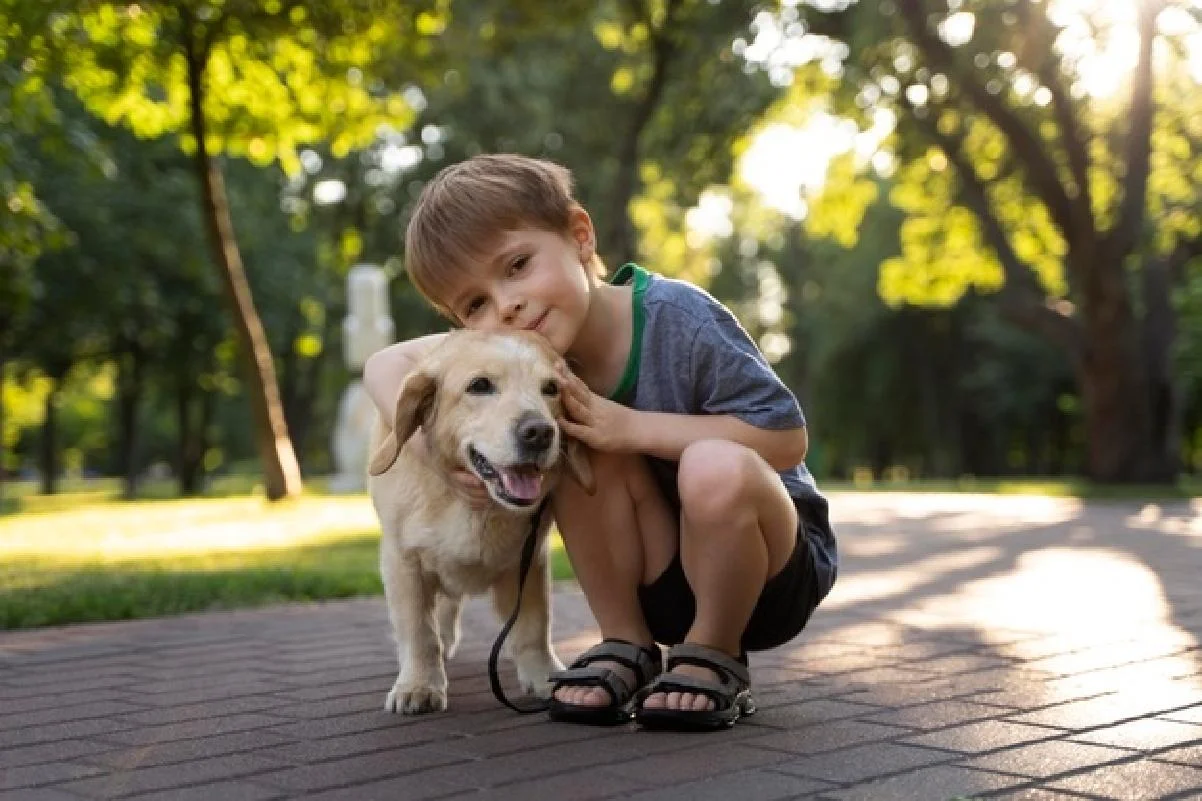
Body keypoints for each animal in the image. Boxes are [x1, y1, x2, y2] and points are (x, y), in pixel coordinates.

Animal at [365, 327, 591, 712]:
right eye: (480, 385)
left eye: (551, 388)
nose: (540, 432)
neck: (475, 507)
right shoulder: (403, 561)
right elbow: (419, 631)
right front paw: (419, 685)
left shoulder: (530, 561)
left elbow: (534, 627)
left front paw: (543, 676)